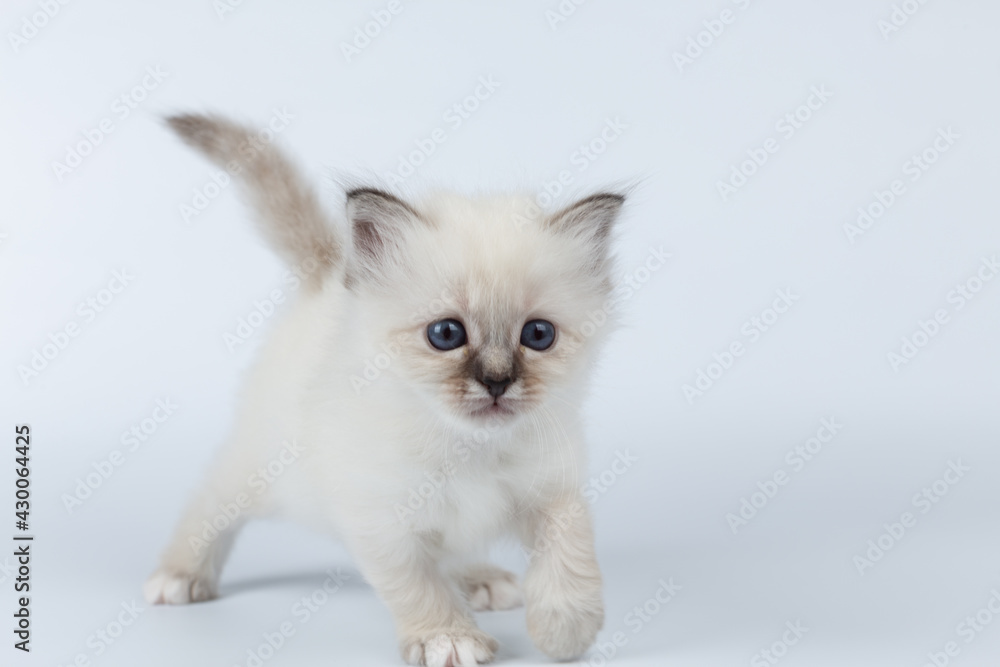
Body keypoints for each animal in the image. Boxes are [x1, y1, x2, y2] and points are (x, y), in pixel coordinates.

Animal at [146, 112, 624, 664]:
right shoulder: (381, 522)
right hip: (258, 473)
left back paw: (481, 579)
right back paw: (179, 575)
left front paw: (566, 628)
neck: (468, 449)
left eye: (538, 335)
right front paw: (449, 638)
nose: (497, 381)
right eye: (446, 334)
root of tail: (329, 274)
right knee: (209, 505)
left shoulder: (553, 491)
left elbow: (569, 551)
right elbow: (420, 586)